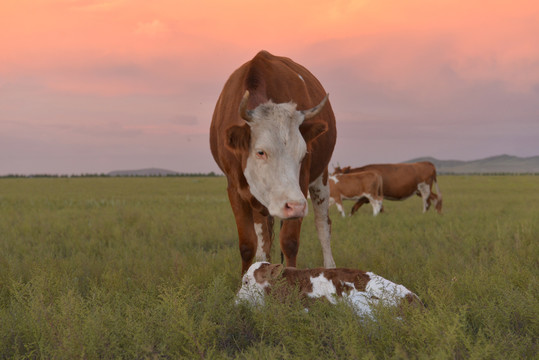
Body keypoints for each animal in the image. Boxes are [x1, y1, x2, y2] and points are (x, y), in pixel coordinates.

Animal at [211, 50, 338, 274]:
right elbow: (248, 245)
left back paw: (330, 268)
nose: (294, 206)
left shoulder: (301, 184)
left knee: (323, 226)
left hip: (321, 177)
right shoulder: (234, 189)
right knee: (264, 235)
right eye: (261, 152)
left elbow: (289, 242)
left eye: (302, 153)